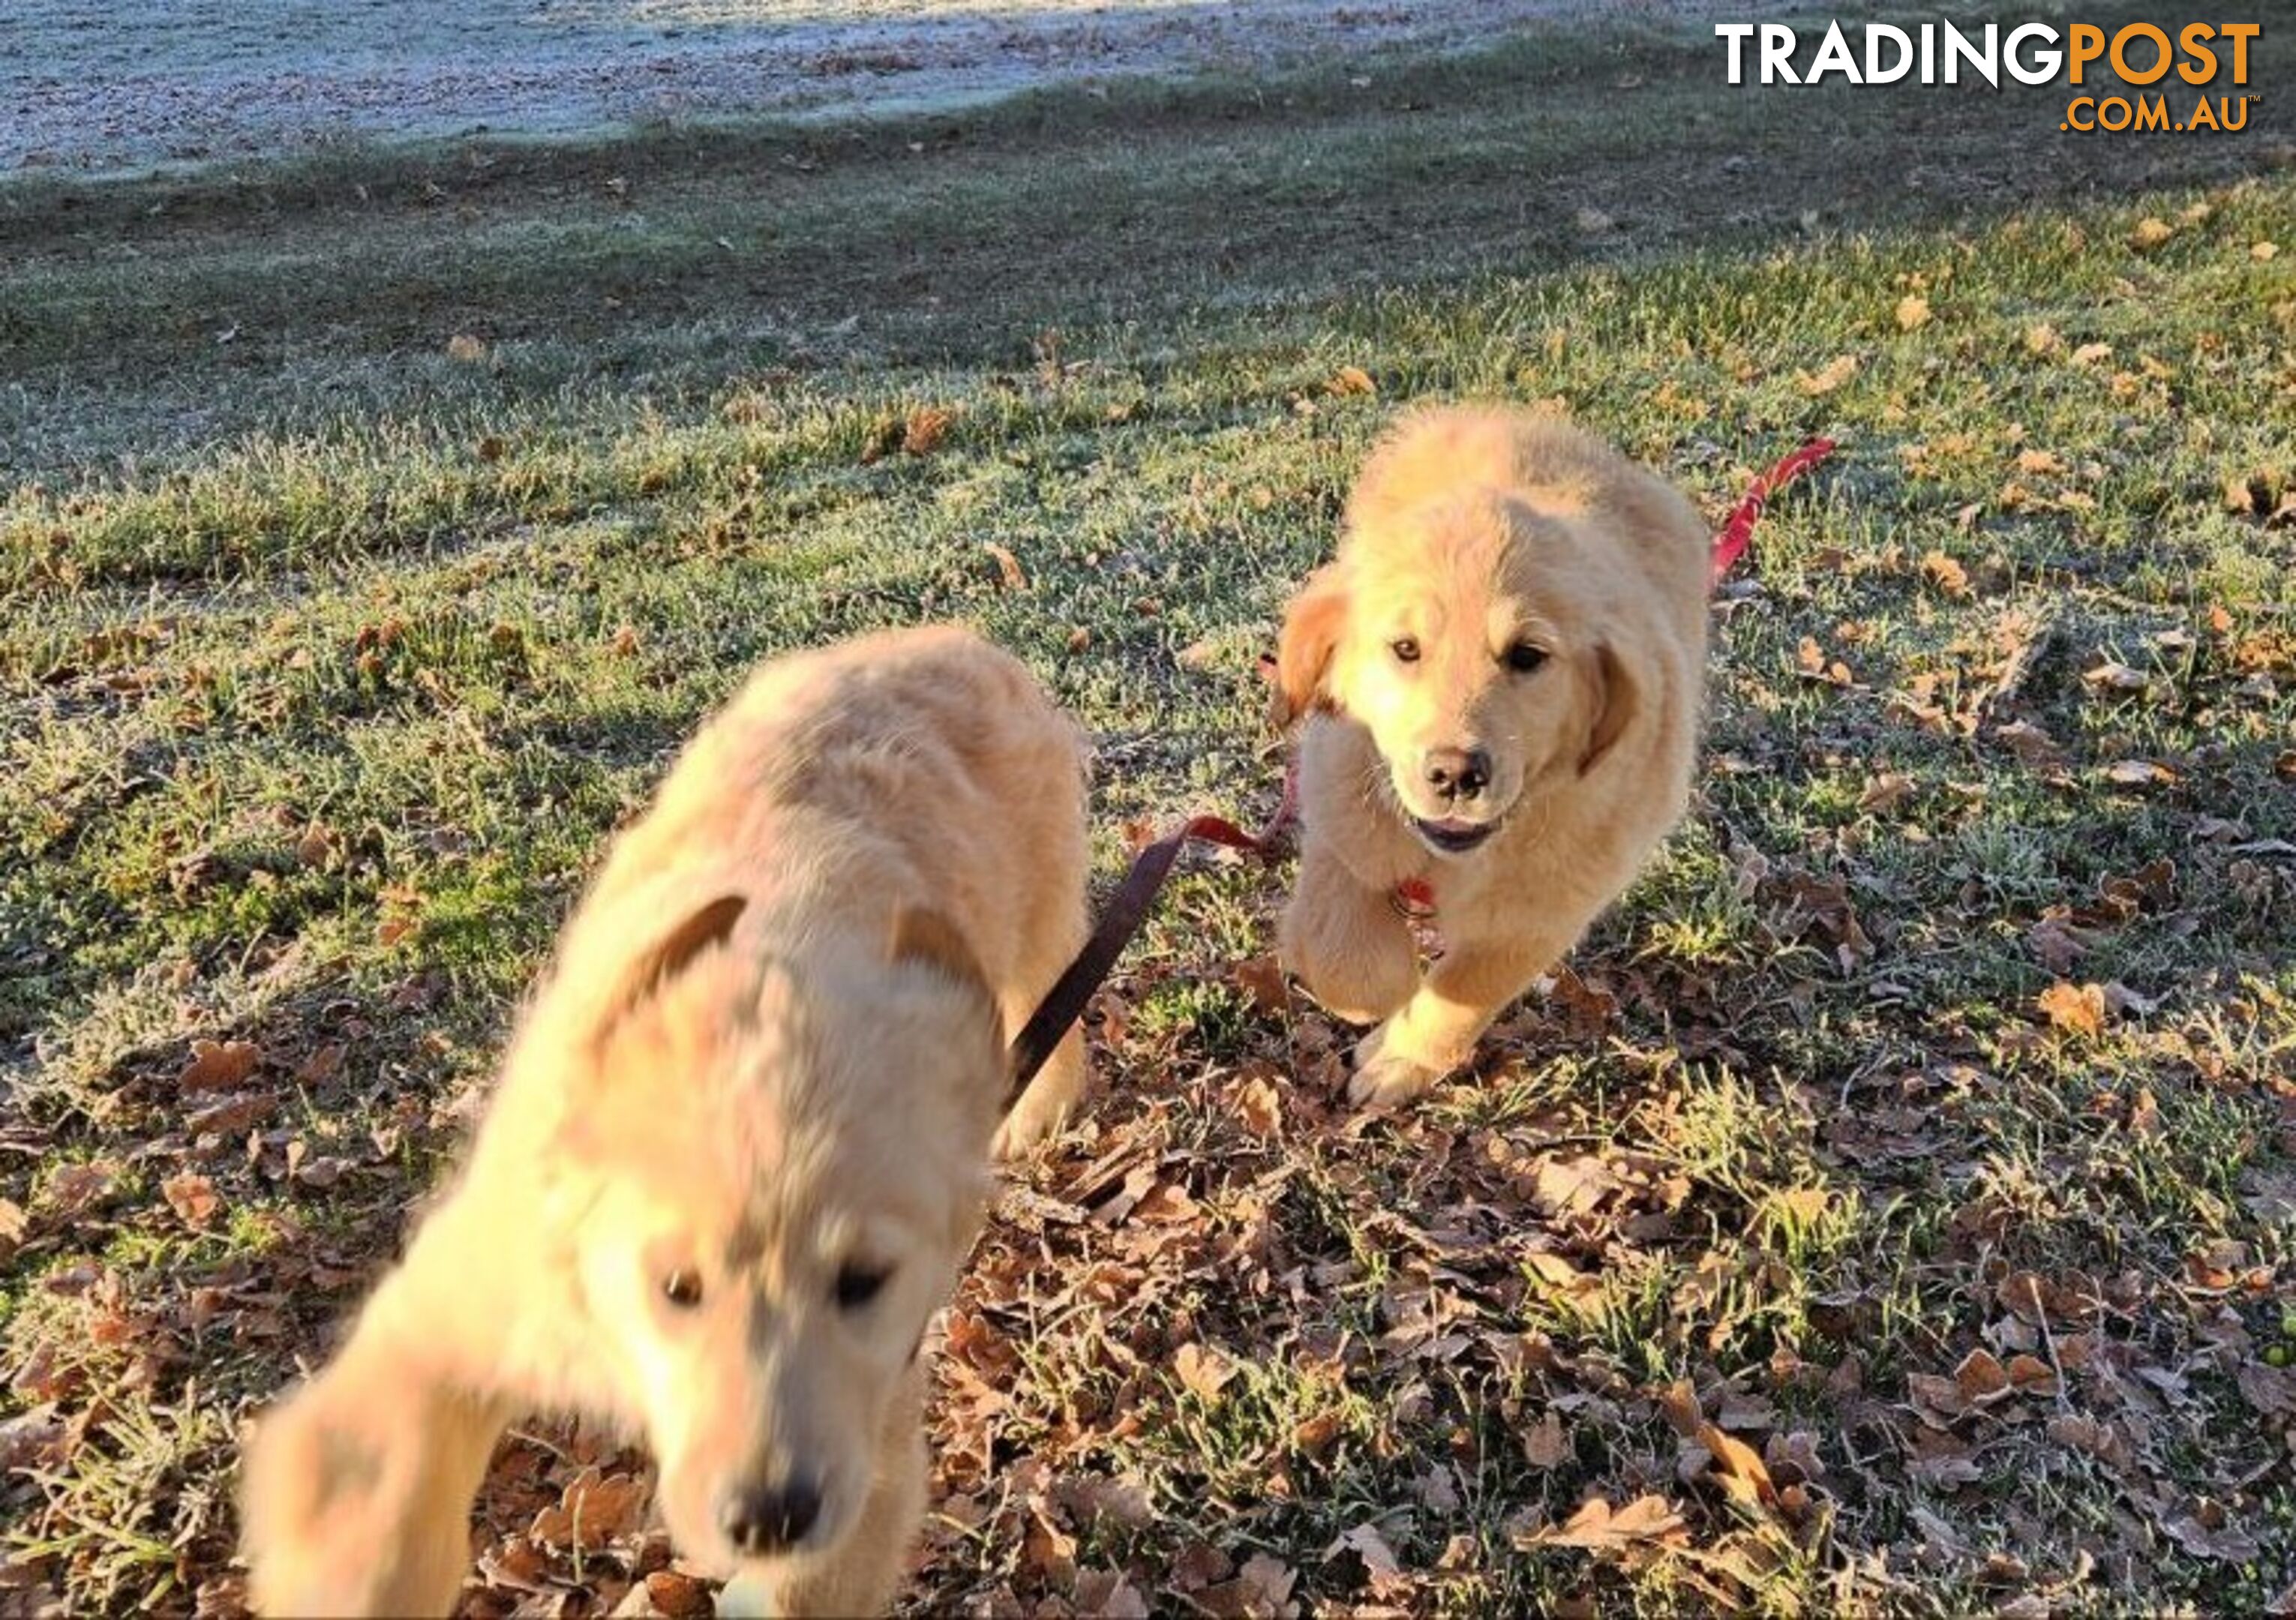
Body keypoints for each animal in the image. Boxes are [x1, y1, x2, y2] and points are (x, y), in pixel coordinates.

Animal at [242, 624, 1093, 1606]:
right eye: (677, 1287)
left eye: (863, 1281)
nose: (766, 1517)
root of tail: (953, 637)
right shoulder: (458, 1306)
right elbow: (381, 1494)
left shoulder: (869, 1449)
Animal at [1276, 410, 1708, 1106]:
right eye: (1404, 649)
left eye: (1527, 656)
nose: (1455, 773)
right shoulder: (1339, 806)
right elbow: (1344, 957)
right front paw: (1376, 998)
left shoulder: (1545, 909)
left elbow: (1464, 993)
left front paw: (1398, 1060)